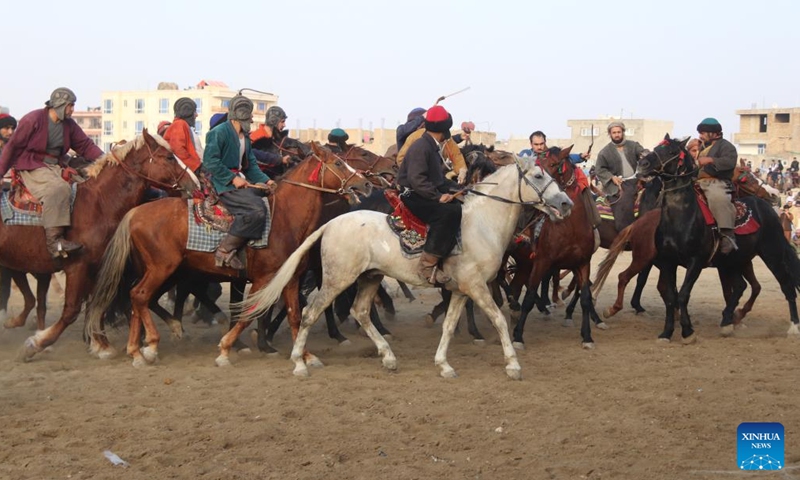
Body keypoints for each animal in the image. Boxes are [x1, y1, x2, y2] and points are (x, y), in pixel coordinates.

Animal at [2, 131, 198, 360]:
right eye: (168, 157)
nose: (194, 185)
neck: (99, 204)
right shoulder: (77, 267)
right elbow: (71, 311)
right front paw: (36, 343)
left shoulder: (97, 268)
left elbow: (98, 306)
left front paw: (102, 345)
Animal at [86, 142, 374, 368]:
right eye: (338, 163)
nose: (366, 184)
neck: (284, 217)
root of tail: (135, 212)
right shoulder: (263, 279)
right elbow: (249, 314)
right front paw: (226, 349)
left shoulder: (290, 279)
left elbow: (295, 315)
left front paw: (306, 355)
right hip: (162, 268)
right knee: (139, 296)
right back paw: (149, 346)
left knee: (136, 300)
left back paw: (137, 350)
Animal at [233, 153, 576, 378]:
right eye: (538, 177)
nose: (566, 204)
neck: (480, 223)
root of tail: (332, 223)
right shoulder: (476, 287)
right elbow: (499, 320)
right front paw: (513, 364)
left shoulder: (460, 290)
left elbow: (449, 325)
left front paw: (443, 364)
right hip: (337, 279)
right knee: (309, 313)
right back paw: (300, 363)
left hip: (370, 277)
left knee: (360, 311)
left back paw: (387, 356)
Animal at [636, 133, 800, 340]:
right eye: (657, 148)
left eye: (672, 151)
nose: (643, 163)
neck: (681, 217)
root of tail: (767, 208)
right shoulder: (667, 262)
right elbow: (671, 297)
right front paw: (667, 332)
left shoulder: (696, 262)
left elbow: (683, 295)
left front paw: (688, 332)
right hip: (736, 260)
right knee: (741, 286)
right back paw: (728, 321)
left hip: (772, 255)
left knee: (786, 285)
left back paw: (793, 326)